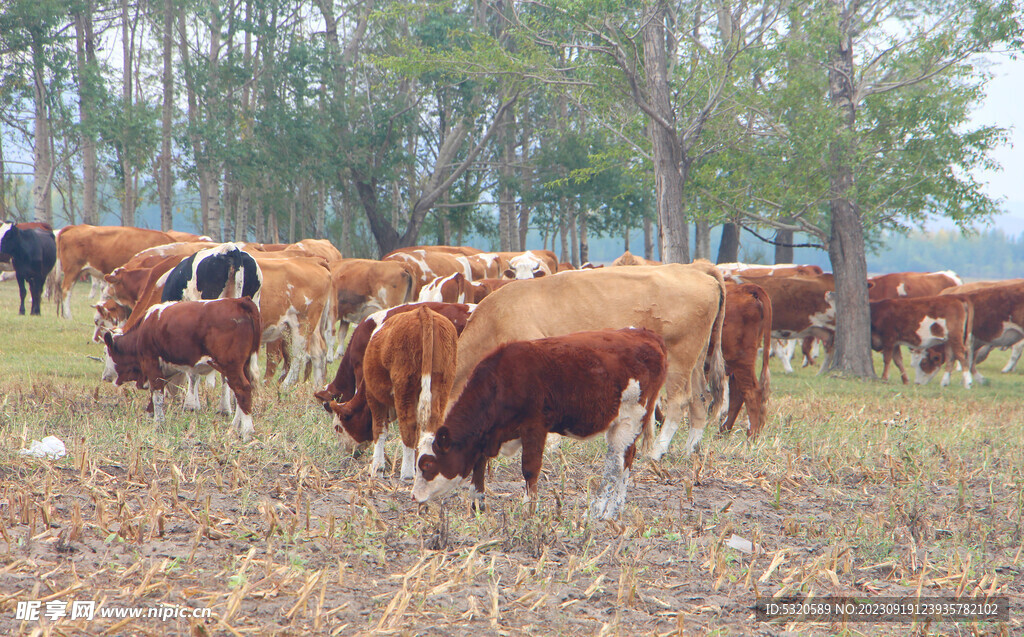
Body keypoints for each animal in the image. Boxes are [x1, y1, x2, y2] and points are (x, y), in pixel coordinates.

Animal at [100, 301, 262, 444]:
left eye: (106, 352)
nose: (105, 376)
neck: (143, 331)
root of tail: (240, 301)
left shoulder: (151, 364)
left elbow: (157, 395)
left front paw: (159, 423)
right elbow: (155, 393)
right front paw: (151, 414)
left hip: (230, 366)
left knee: (242, 390)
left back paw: (247, 432)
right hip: (243, 365)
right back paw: (235, 427)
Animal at [411, 327, 667, 522]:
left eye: (427, 464)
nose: (413, 497)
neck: (502, 381)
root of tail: (645, 334)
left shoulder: (534, 426)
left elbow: (529, 468)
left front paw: (528, 510)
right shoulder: (487, 436)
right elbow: (478, 468)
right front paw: (477, 506)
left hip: (632, 418)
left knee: (615, 464)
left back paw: (600, 511)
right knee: (626, 460)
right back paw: (614, 509)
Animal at [450, 262, 729, 460]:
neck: (495, 320)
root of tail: (693, 268)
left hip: (679, 355)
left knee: (679, 402)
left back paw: (657, 451)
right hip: (696, 359)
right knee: (700, 400)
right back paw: (690, 450)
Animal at [716, 284, 770, 438]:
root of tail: (746, 287)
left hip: (740, 360)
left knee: (751, 392)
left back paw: (752, 436)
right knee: (737, 393)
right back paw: (723, 431)